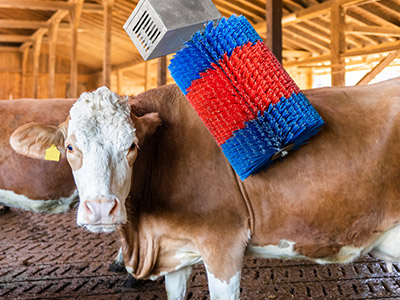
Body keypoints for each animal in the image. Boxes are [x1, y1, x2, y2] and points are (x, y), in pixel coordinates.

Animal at [10, 79, 400, 300]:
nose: (102, 208)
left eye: (132, 146)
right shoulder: (174, 246)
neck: (143, 236)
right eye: (70, 147)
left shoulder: (222, 244)